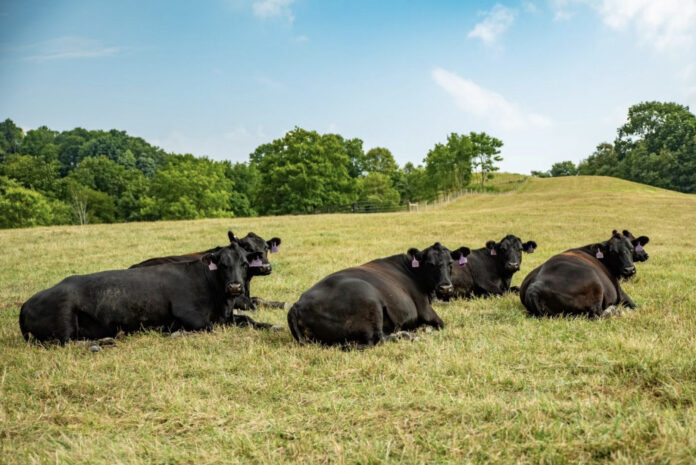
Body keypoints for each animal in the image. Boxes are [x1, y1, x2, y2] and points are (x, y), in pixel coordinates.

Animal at [19, 242, 276, 344]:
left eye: (245, 263)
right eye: (222, 264)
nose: (235, 287)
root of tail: (26, 303)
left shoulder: (227, 317)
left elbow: (249, 320)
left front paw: (271, 325)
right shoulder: (190, 316)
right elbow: (208, 328)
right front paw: (175, 333)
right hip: (63, 320)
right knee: (65, 343)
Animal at [130, 231, 284, 310]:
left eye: (266, 247)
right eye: (247, 247)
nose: (266, 267)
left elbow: (257, 299)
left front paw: (281, 304)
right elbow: (253, 302)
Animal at [287, 242, 470, 349]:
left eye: (450, 263)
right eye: (430, 264)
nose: (445, 287)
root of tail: (297, 305)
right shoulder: (426, 310)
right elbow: (440, 324)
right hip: (369, 302)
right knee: (377, 339)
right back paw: (408, 335)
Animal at [519, 230, 649, 318]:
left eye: (631, 248)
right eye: (613, 252)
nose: (629, 269)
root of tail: (535, 286)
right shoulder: (620, 292)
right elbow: (635, 306)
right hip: (595, 284)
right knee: (598, 313)